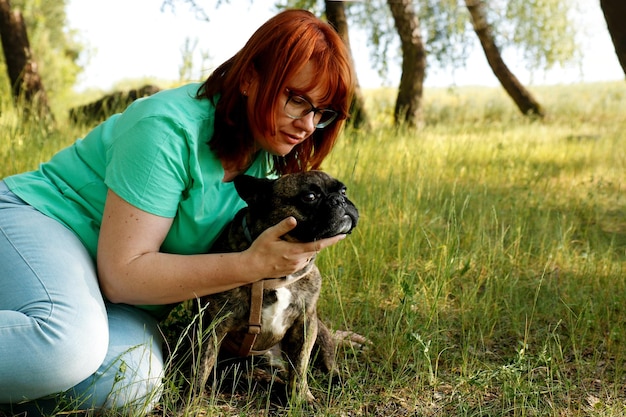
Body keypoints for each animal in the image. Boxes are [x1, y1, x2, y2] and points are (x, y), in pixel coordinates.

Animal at [190, 171, 356, 402]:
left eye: (344, 190)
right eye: (310, 197)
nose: (339, 200)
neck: (280, 275)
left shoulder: (305, 323)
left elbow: (300, 366)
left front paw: (302, 398)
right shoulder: (213, 324)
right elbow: (202, 365)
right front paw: (191, 400)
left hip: (319, 330)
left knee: (326, 362)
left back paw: (337, 380)